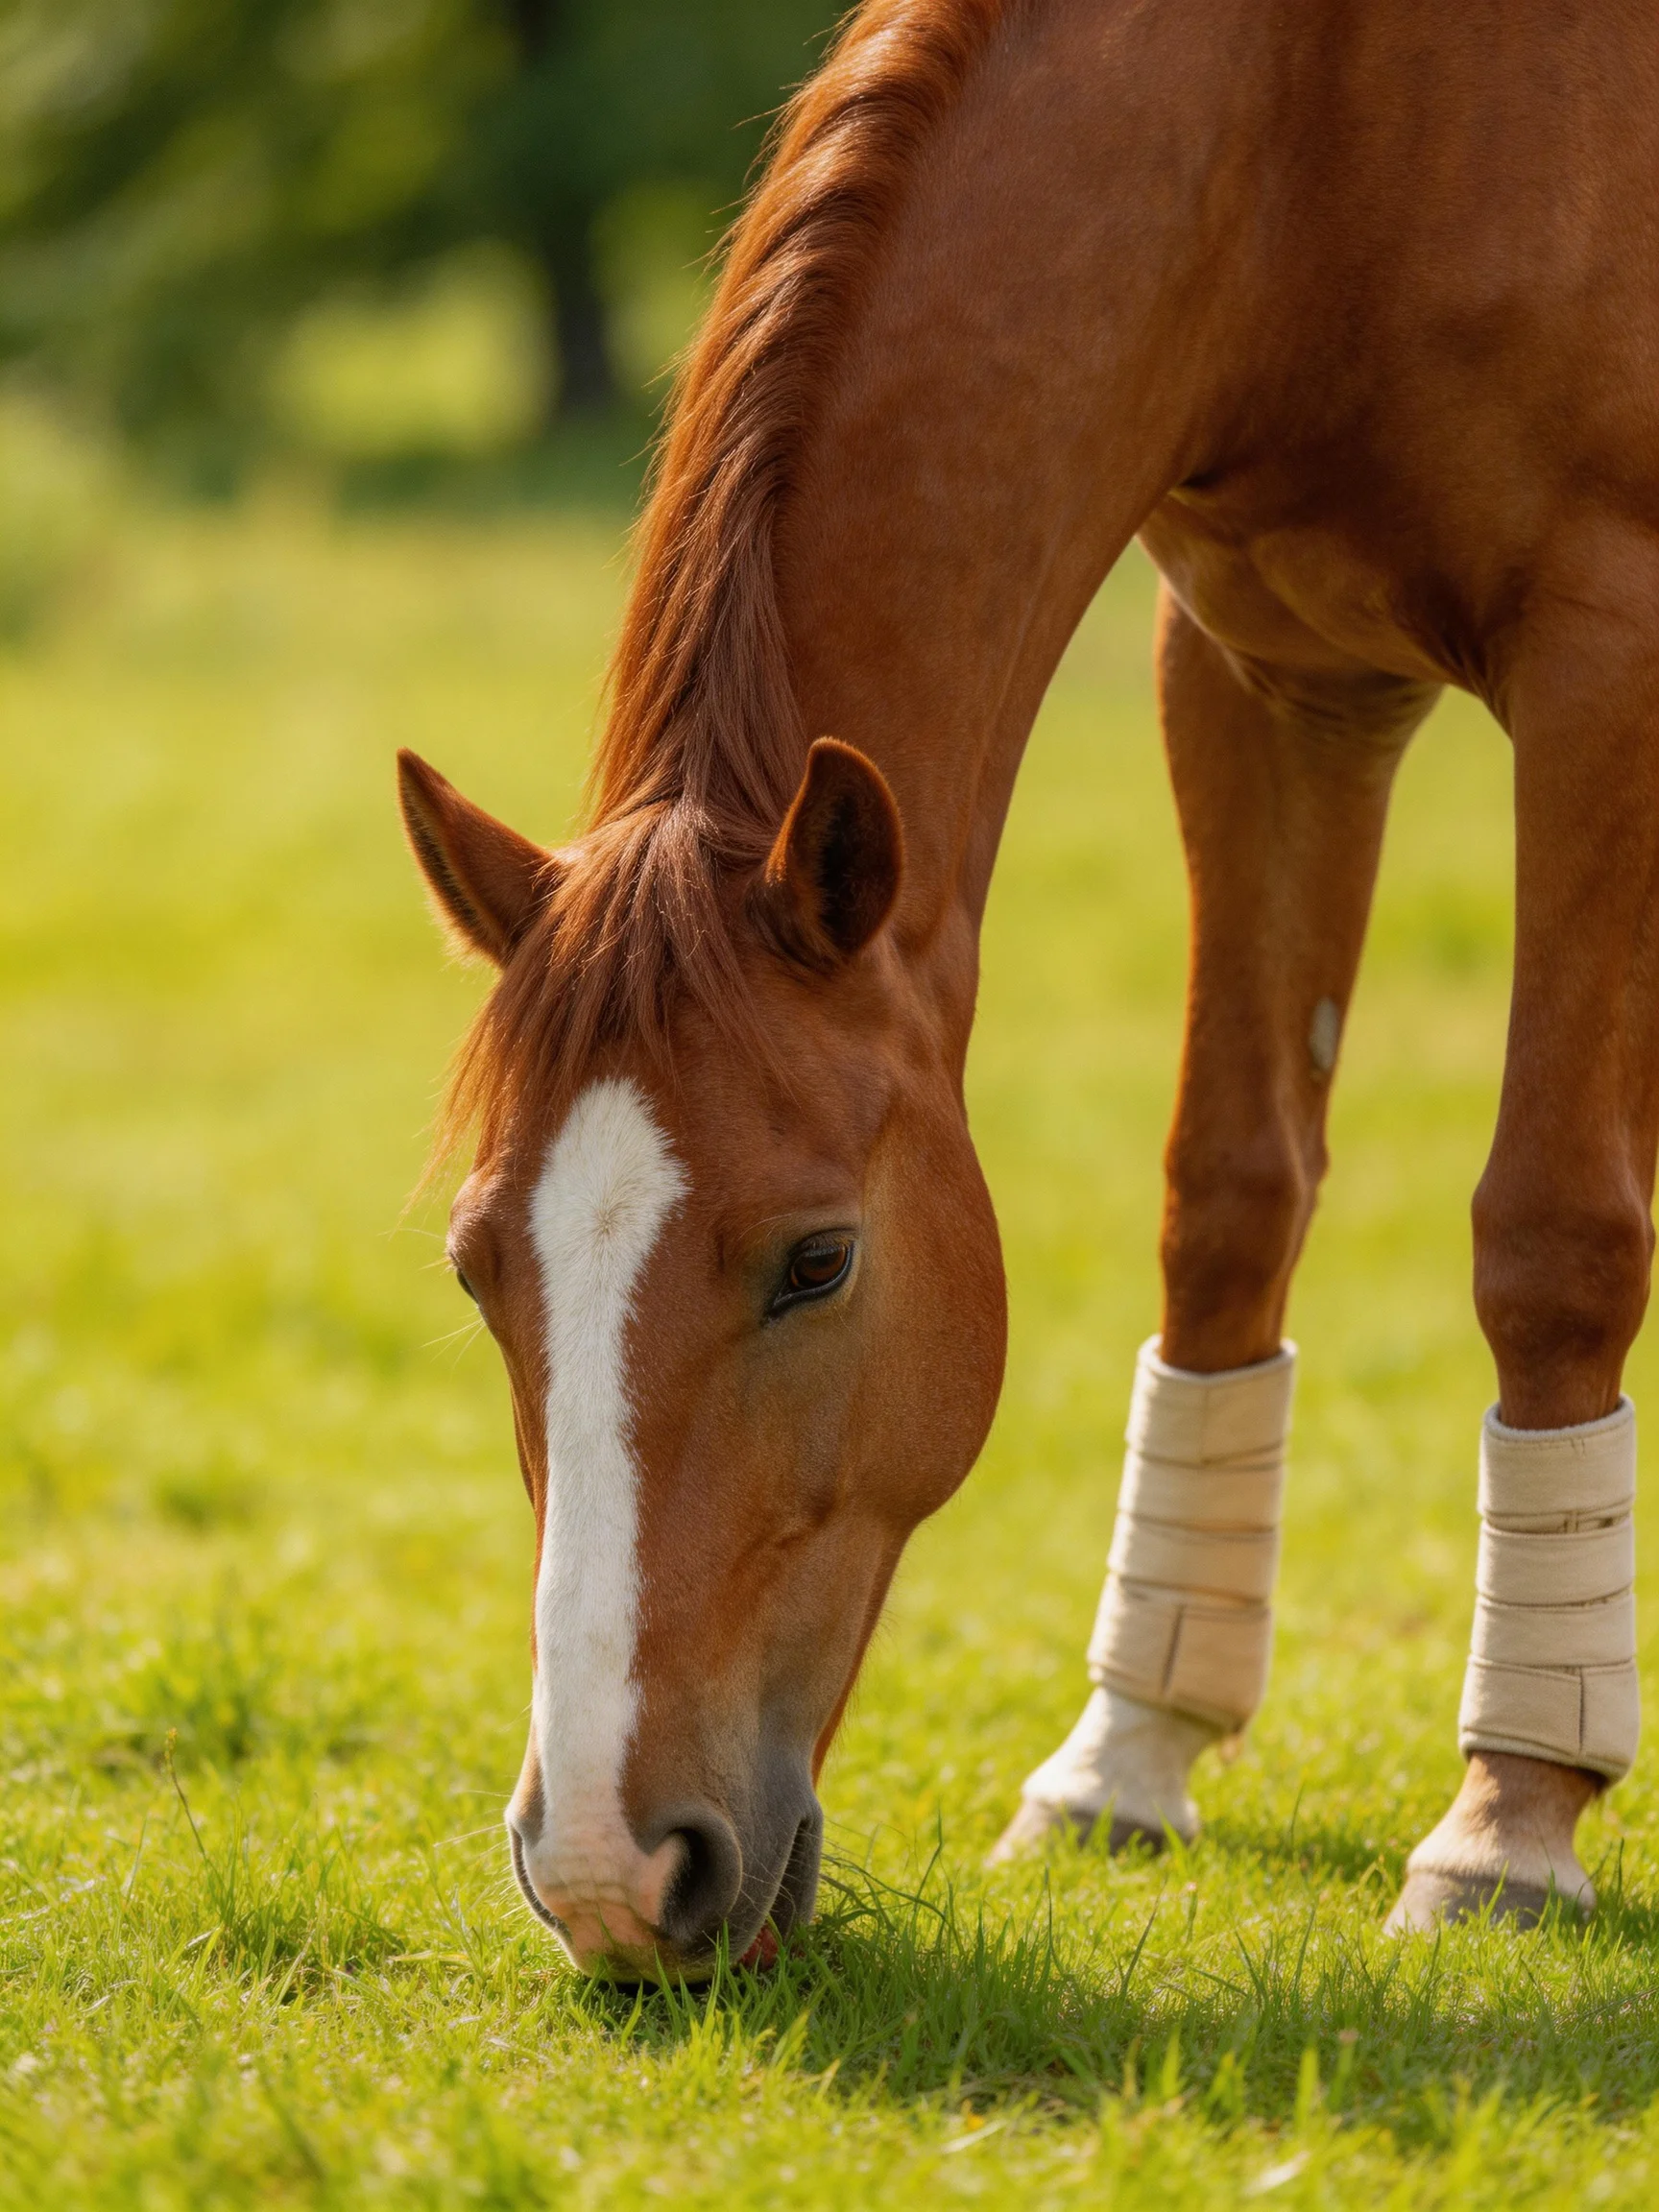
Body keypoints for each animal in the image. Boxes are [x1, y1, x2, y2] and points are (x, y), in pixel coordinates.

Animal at [398, 0, 1659, 1975]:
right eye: (478, 1270)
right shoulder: (1270, 668)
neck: (1326, 125)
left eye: (817, 1262)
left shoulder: (1607, 648)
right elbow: (1228, 1201)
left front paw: (1508, 1819)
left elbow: (1552, 1233)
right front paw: (1125, 1761)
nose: (608, 1869)